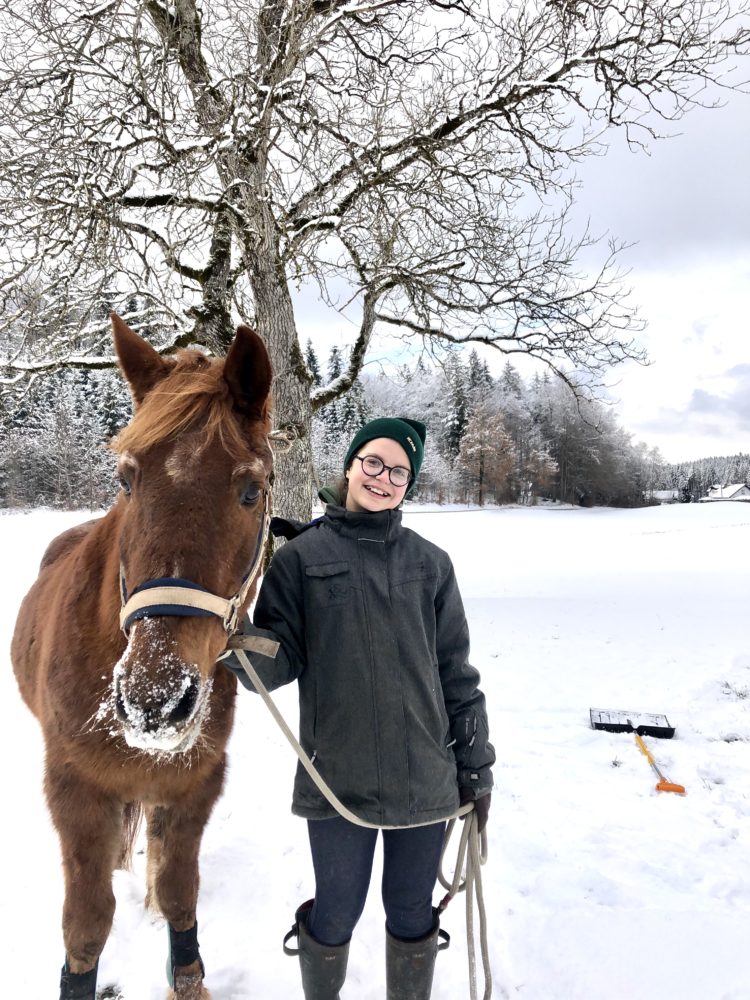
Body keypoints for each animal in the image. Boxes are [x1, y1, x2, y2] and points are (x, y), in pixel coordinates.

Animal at [11, 314, 274, 1000]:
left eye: (251, 490)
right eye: (126, 479)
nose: (155, 699)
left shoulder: (193, 785)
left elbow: (181, 894)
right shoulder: (74, 792)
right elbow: (85, 927)